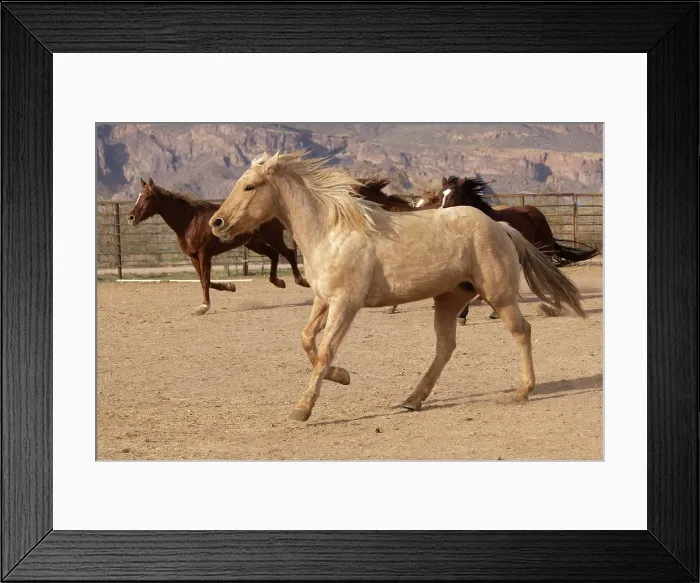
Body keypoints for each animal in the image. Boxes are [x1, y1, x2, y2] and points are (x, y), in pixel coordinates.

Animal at [127, 178, 310, 315]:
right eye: (138, 196)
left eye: (147, 197)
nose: (131, 217)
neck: (189, 222)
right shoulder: (193, 257)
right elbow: (205, 280)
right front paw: (229, 286)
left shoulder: (203, 254)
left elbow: (205, 281)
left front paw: (203, 307)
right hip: (254, 242)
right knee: (274, 255)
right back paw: (279, 282)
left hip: (272, 237)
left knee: (289, 254)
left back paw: (302, 281)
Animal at [209, 151, 586, 422]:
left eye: (249, 186)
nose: (217, 223)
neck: (332, 231)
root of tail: (501, 227)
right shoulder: (323, 300)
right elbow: (307, 341)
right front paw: (342, 376)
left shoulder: (345, 303)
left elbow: (326, 349)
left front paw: (303, 408)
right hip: (449, 299)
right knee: (445, 347)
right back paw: (412, 400)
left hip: (499, 296)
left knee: (522, 331)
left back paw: (523, 390)